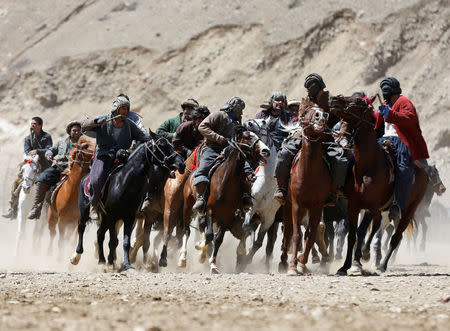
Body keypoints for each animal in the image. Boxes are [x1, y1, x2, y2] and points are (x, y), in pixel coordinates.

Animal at [70, 131, 185, 272]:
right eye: (162, 145)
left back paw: (102, 261)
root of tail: (84, 179)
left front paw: (126, 264)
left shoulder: (129, 217)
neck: (124, 182)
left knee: (100, 234)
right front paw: (112, 263)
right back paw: (76, 256)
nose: (181, 164)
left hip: (105, 218)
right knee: (81, 227)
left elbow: (125, 242)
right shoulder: (113, 216)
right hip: (86, 211)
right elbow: (113, 241)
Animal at [179, 126, 270, 274]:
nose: (266, 151)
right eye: (247, 137)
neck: (226, 180)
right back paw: (182, 259)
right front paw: (204, 257)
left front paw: (212, 263)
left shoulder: (227, 216)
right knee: (186, 230)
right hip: (188, 207)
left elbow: (218, 239)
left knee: (201, 227)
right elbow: (210, 235)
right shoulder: (211, 210)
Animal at [326, 95, 428, 274]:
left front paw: (356, 263)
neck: (367, 166)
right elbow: (352, 234)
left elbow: (360, 232)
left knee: (396, 237)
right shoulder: (354, 206)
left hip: (408, 210)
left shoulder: (371, 206)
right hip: (382, 209)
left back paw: (382, 265)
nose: (333, 99)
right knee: (377, 227)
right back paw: (367, 254)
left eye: (358, 101)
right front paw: (345, 266)